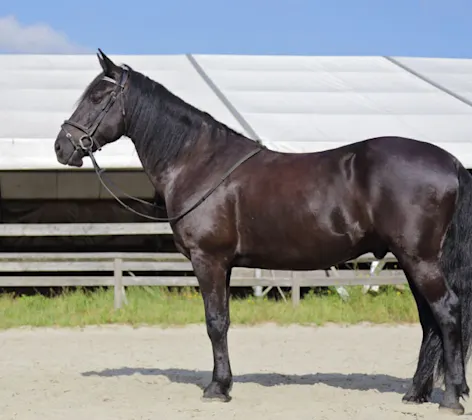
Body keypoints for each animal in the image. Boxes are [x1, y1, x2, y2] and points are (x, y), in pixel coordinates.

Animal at [53, 48, 472, 414]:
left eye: (98, 96)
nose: (61, 147)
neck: (198, 162)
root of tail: (451, 162)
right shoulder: (226, 264)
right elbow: (222, 321)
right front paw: (224, 383)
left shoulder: (208, 260)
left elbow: (215, 323)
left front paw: (217, 388)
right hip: (411, 261)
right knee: (429, 322)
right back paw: (415, 394)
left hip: (419, 259)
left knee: (448, 311)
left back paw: (451, 398)